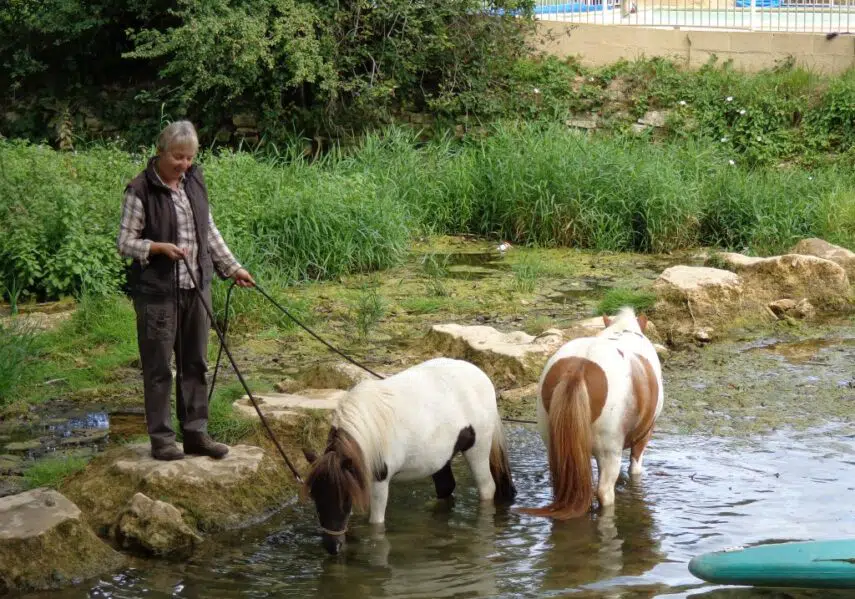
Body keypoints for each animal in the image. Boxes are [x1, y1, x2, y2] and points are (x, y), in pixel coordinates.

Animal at [524, 310, 664, 520]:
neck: (623, 330)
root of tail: (578, 367)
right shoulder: (643, 436)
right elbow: (635, 469)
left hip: (554, 446)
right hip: (609, 452)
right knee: (604, 492)